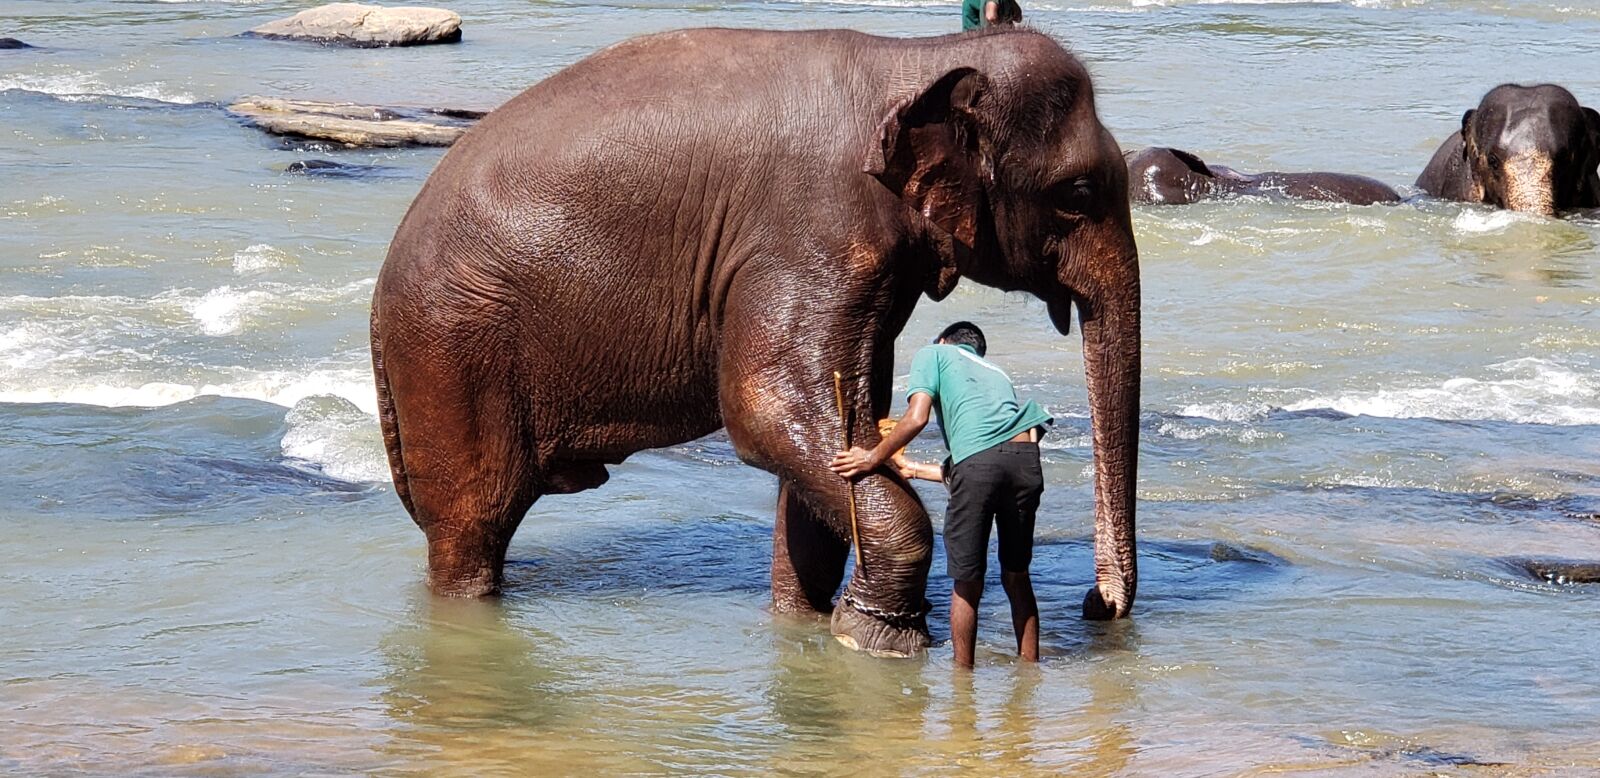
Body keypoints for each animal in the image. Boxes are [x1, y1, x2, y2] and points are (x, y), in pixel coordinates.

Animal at [370, 26, 1142, 657]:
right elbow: (764, 406)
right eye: (1077, 193)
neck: (917, 57)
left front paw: (811, 624)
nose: (1095, 604)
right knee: (473, 525)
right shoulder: (811, 234)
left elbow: (838, 419)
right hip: (452, 350)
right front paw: (878, 639)